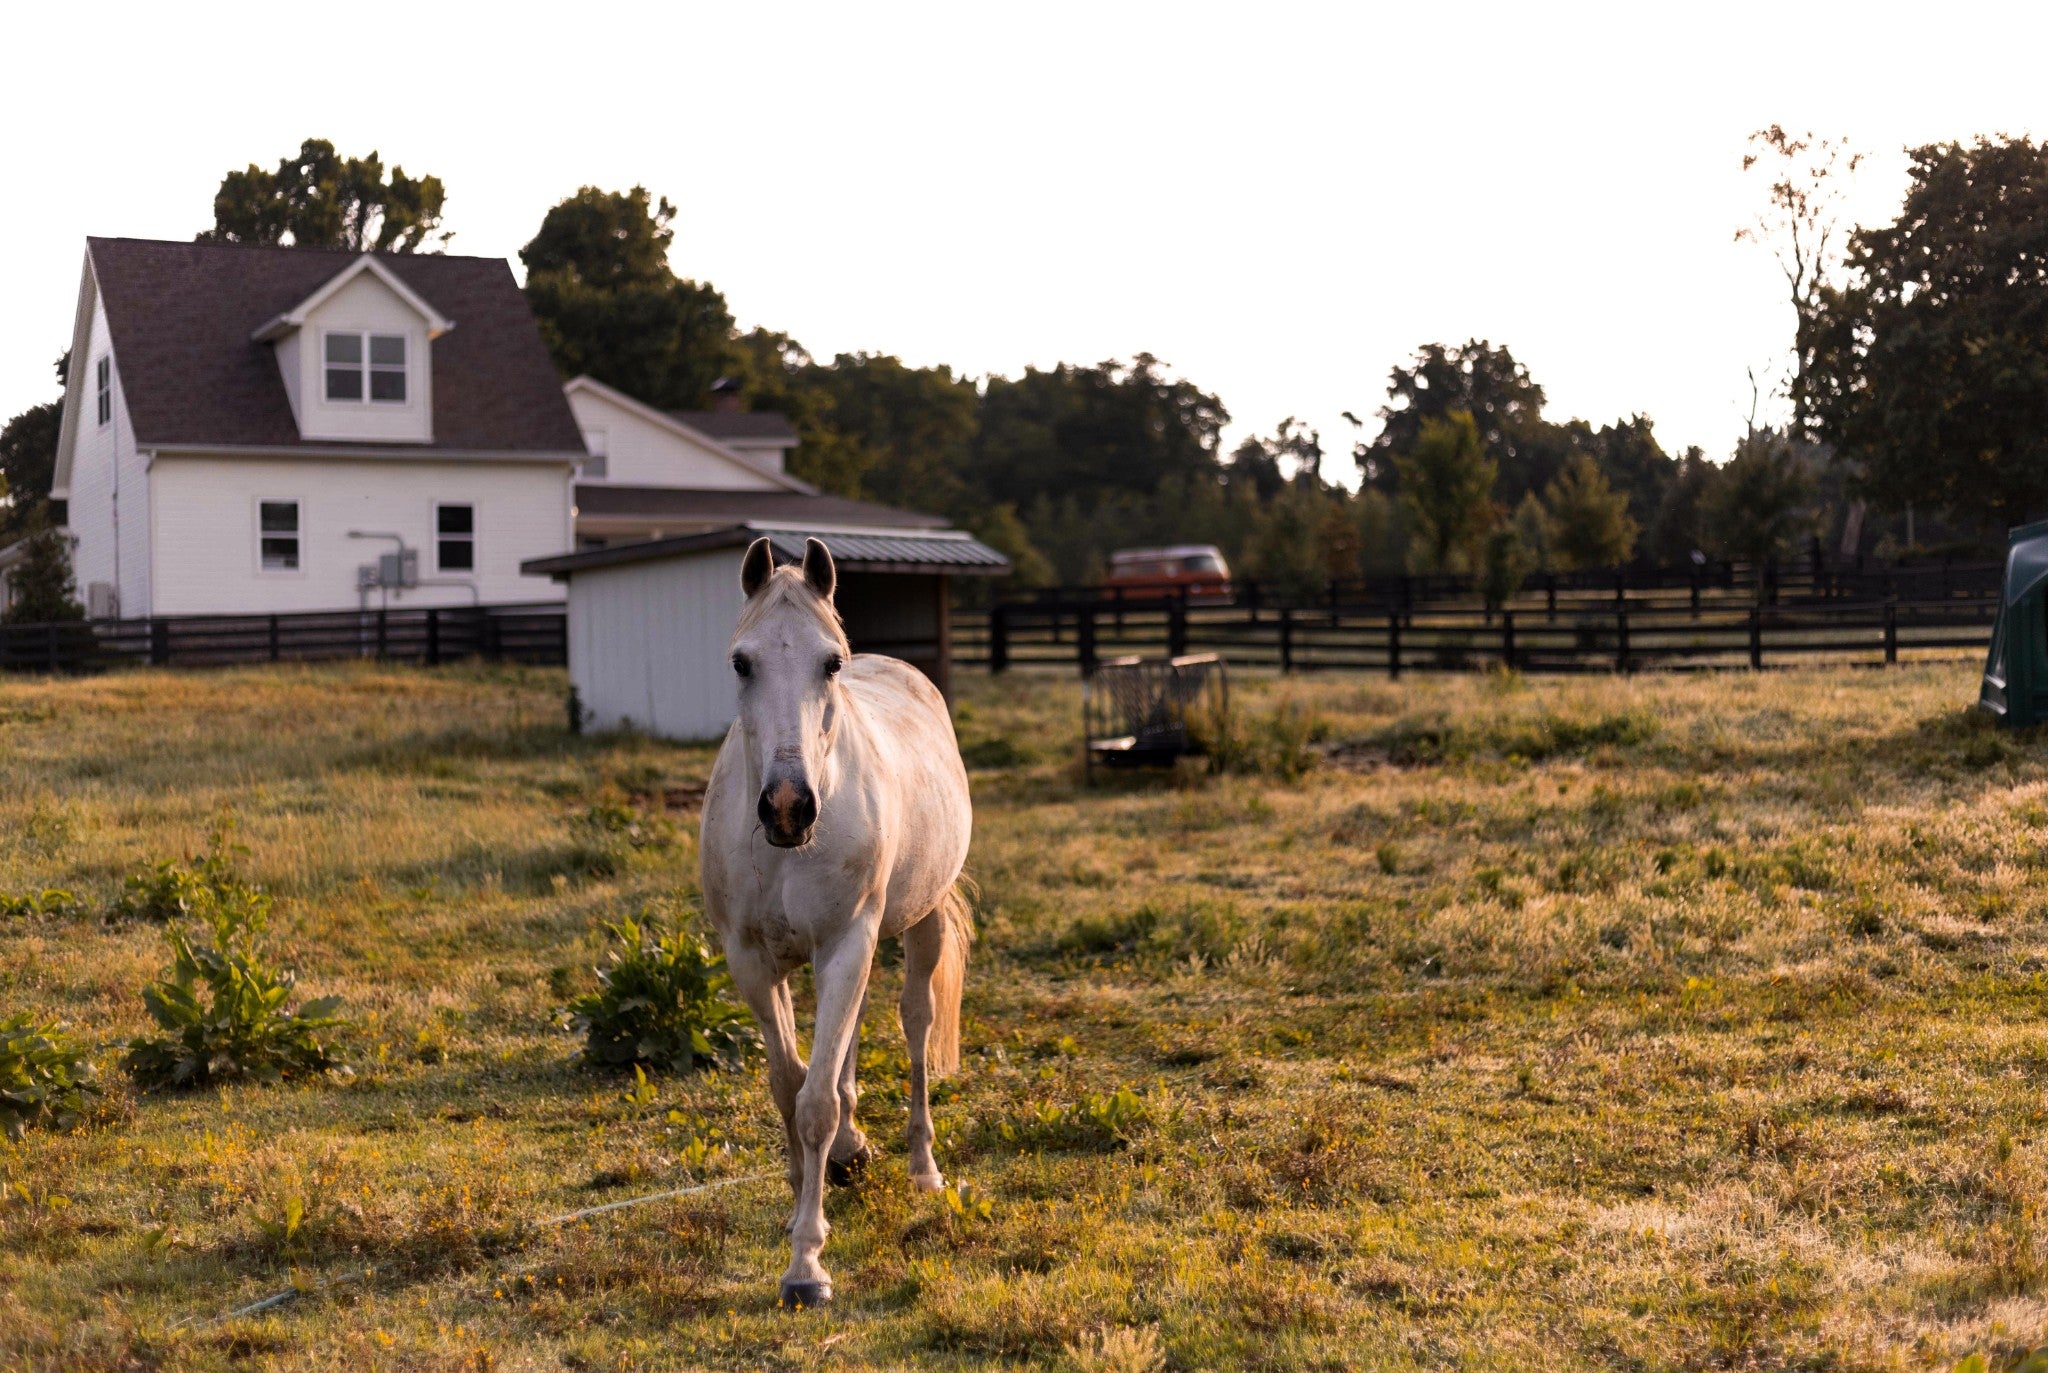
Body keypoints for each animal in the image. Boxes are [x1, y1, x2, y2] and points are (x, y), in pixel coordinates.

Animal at [700, 536, 975, 1309]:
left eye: (831, 662)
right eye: (741, 662)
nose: (788, 807)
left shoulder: (848, 943)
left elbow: (816, 1100)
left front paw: (807, 1266)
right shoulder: (752, 960)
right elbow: (789, 1085)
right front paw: (804, 1196)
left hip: (918, 922)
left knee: (914, 1024)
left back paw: (922, 1167)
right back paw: (851, 1154)